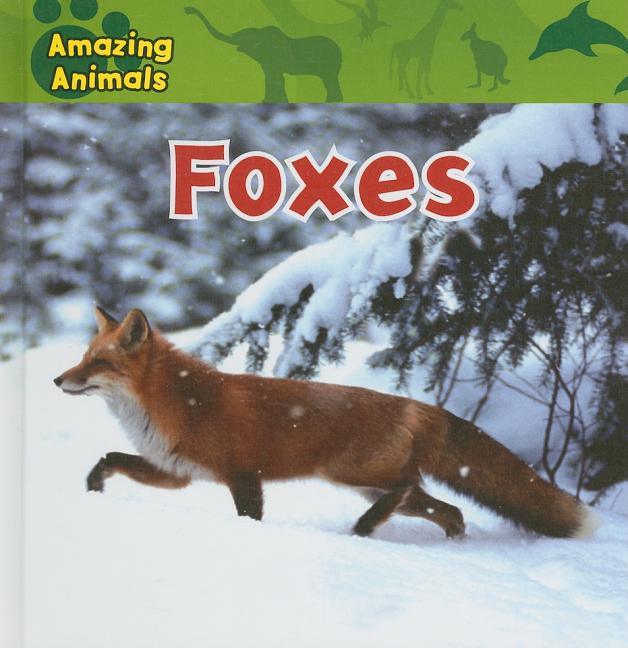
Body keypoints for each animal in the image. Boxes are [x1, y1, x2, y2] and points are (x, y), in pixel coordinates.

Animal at [54, 306, 598, 540]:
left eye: (98, 363)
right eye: (83, 357)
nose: (58, 379)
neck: (181, 401)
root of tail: (417, 404)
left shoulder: (243, 475)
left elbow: (249, 519)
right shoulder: (177, 472)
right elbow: (110, 458)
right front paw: (92, 489)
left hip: (351, 474)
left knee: (408, 490)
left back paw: (364, 528)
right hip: (371, 483)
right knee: (450, 511)